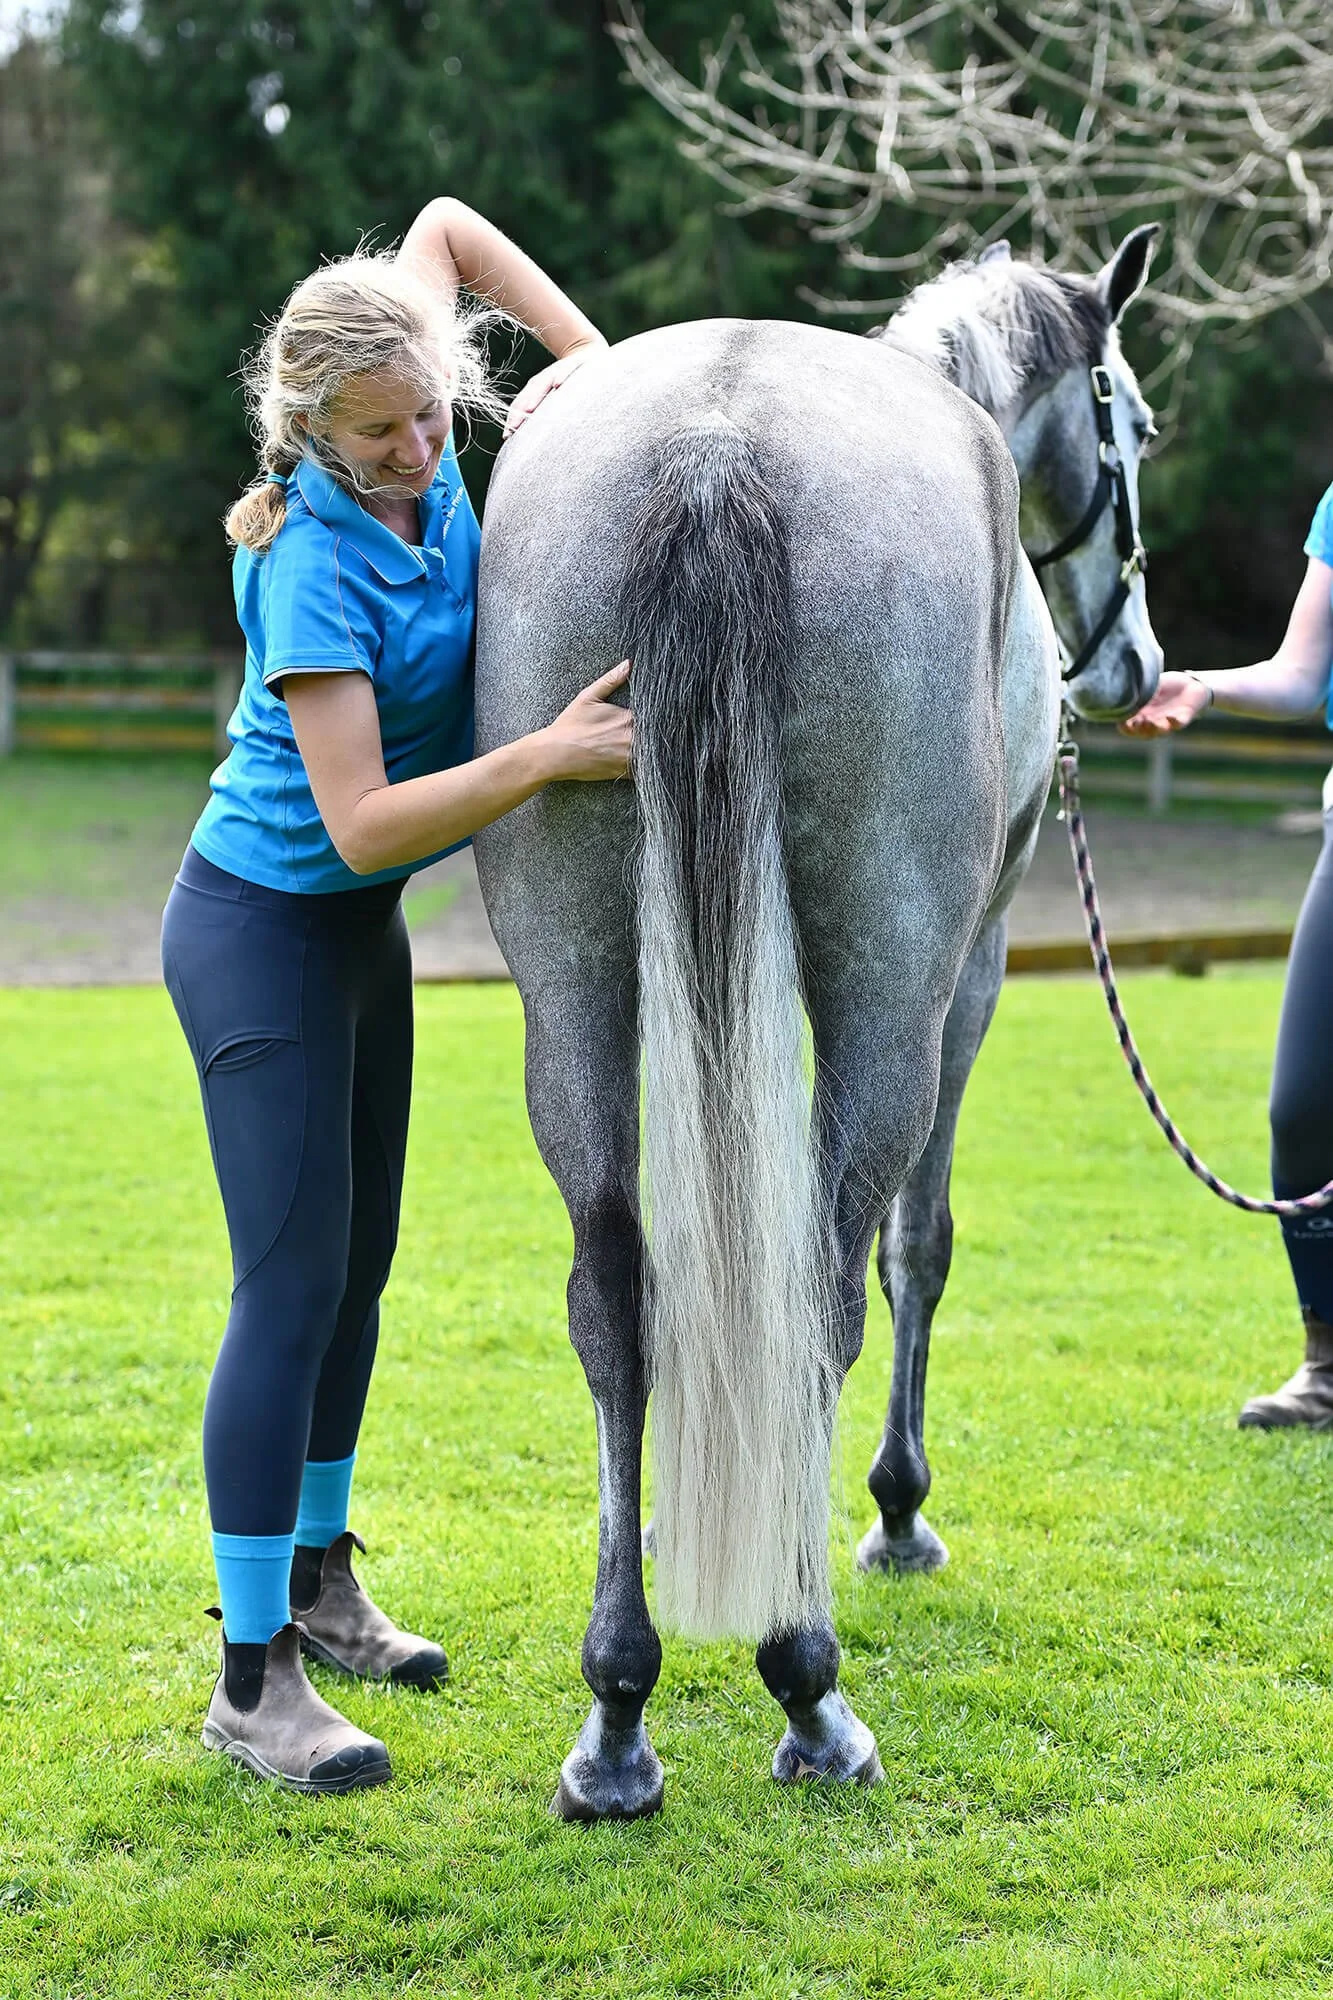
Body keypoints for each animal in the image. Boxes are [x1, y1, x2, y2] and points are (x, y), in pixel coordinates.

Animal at [472, 225, 1162, 1821]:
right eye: (1137, 426)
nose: (1135, 668)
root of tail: (718, 442)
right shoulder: (972, 965)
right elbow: (921, 1244)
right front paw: (897, 1512)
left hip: (571, 986)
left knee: (614, 1295)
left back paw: (617, 1715)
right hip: (894, 985)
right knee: (828, 1286)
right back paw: (807, 1678)